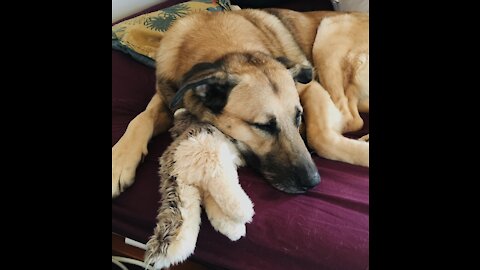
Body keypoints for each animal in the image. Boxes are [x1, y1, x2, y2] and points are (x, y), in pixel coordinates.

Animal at [111, 7, 368, 195]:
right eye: (263, 126)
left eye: (298, 116)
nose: (313, 182)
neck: (232, 50)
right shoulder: (167, 95)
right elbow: (140, 118)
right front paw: (119, 161)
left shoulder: (310, 86)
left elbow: (320, 135)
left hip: (328, 33)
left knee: (350, 119)